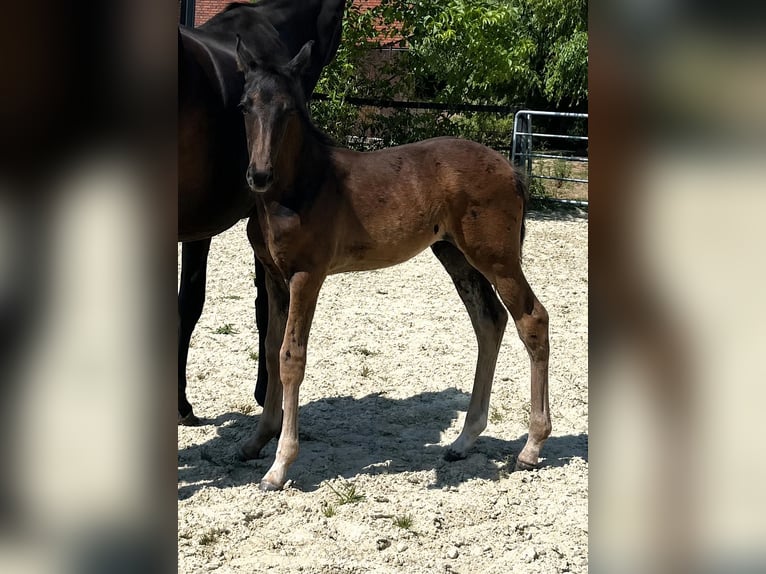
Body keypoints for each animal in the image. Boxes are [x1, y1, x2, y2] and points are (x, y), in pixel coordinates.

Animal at [234, 37, 552, 491]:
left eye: (289, 109)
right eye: (245, 105)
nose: (258, 175)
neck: (299, 187)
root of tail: (510, 169)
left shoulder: (306, 276)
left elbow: (291, 358)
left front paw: (279, 467)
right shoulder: (275, 277)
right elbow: (270, 351)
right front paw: (255, 441)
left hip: (497, 258)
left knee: (531, 318)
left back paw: (531, 447)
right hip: (455, 255)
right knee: (489, 321)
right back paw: (464, 441)